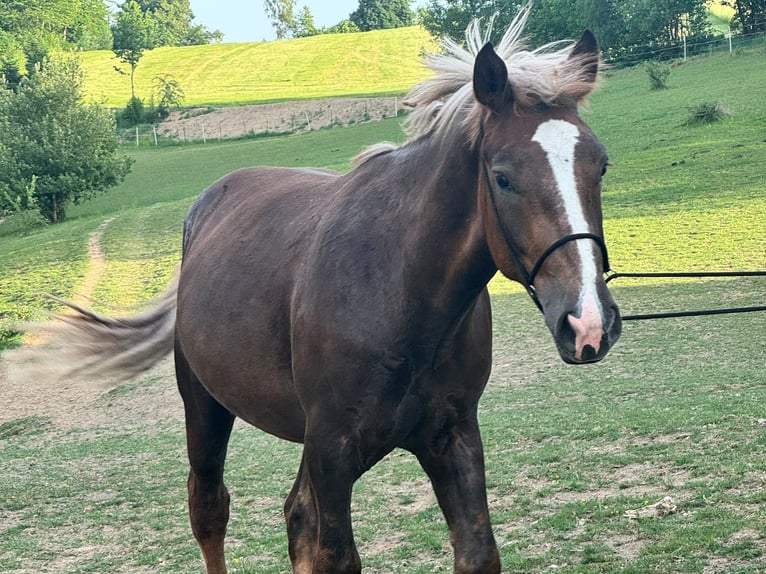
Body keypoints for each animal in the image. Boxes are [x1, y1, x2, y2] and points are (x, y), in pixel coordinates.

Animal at [15, 8, 621, 573]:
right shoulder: (332, 451)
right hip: (206, 408)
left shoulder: (451, 437)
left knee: (293, 517)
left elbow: (475, 551)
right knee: (209, 509)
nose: (588, 322)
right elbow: (334, 553)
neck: (399, 293)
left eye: (600, 165)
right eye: (502, 177)